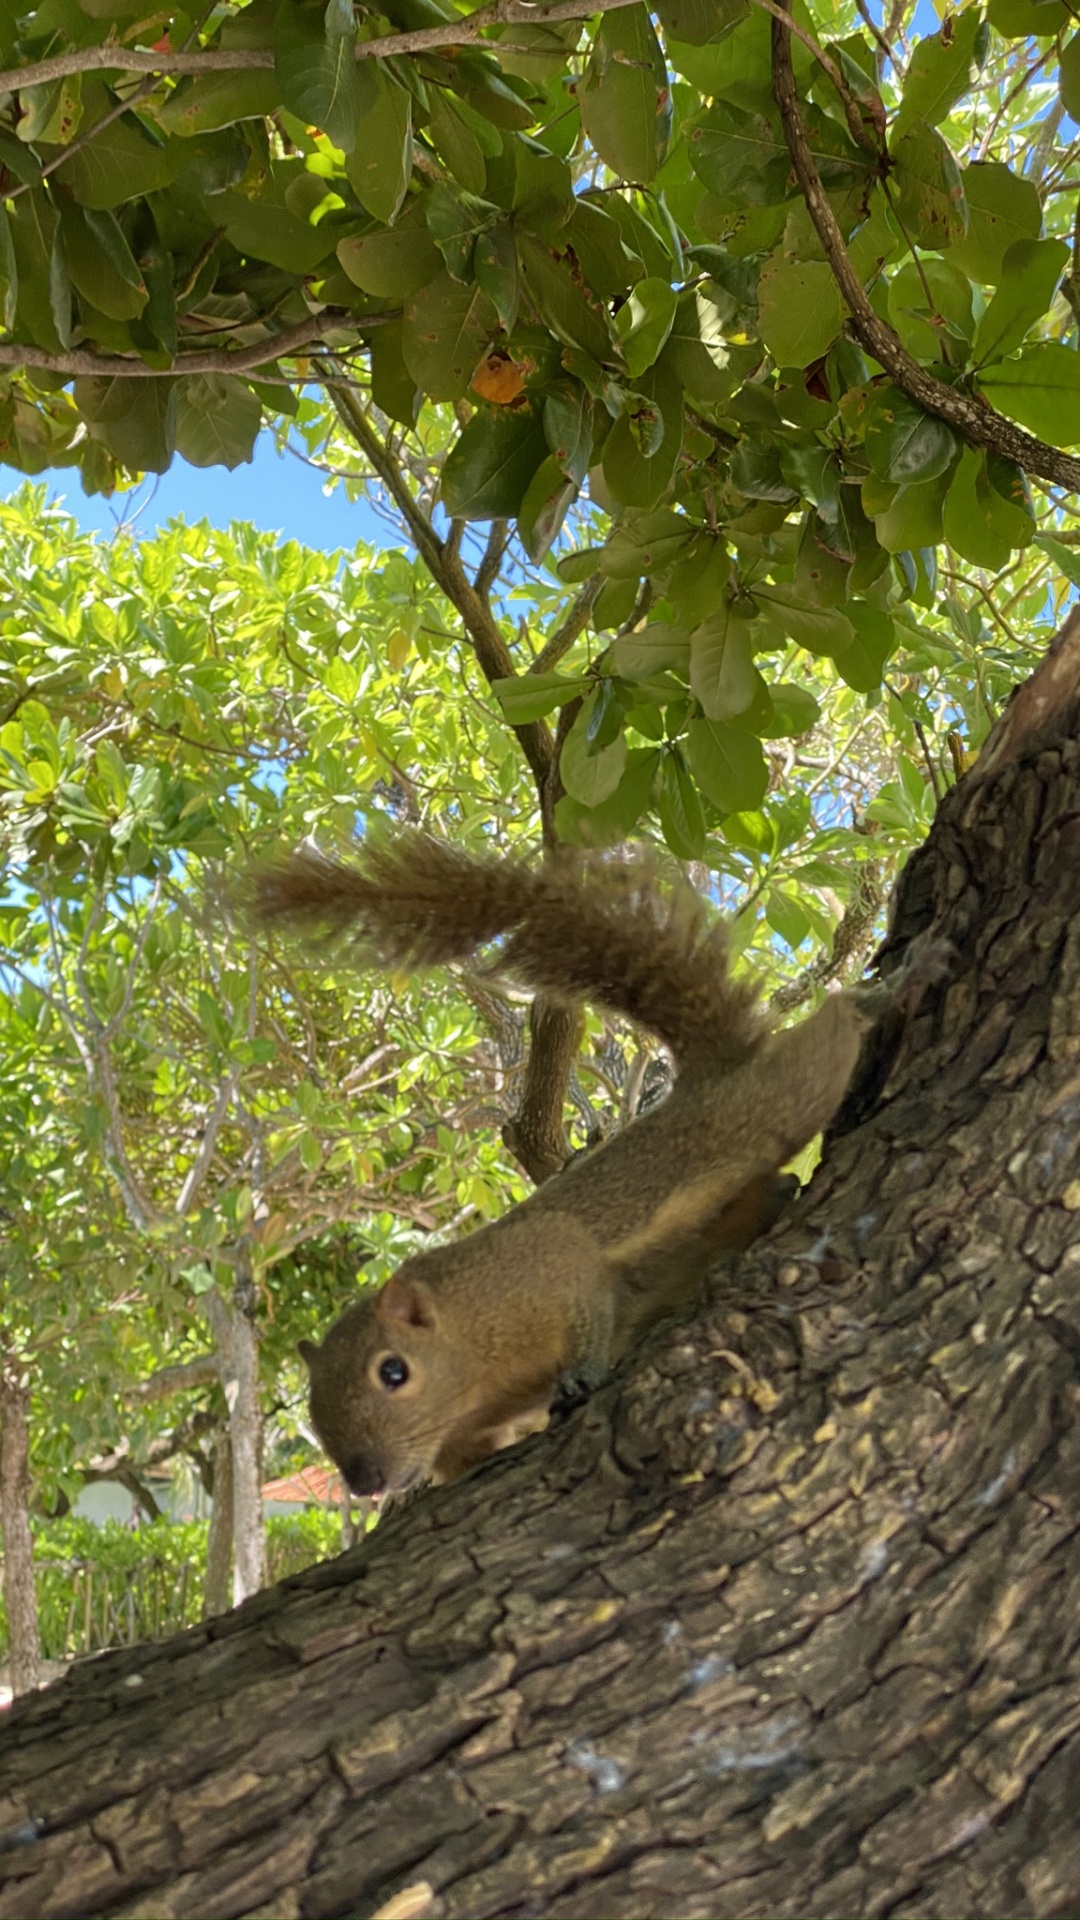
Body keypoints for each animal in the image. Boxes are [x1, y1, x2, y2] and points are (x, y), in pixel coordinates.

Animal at [257, 834, 895, 1499]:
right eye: (312, 1408)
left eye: (393, 1372)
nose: (364, 1482)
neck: (468, 1350)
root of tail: (708, 1075)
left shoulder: (547, 1265)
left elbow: (586, 1296)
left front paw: (581, 1375)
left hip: (766, 1106)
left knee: (822, 1047)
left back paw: (871, 997)